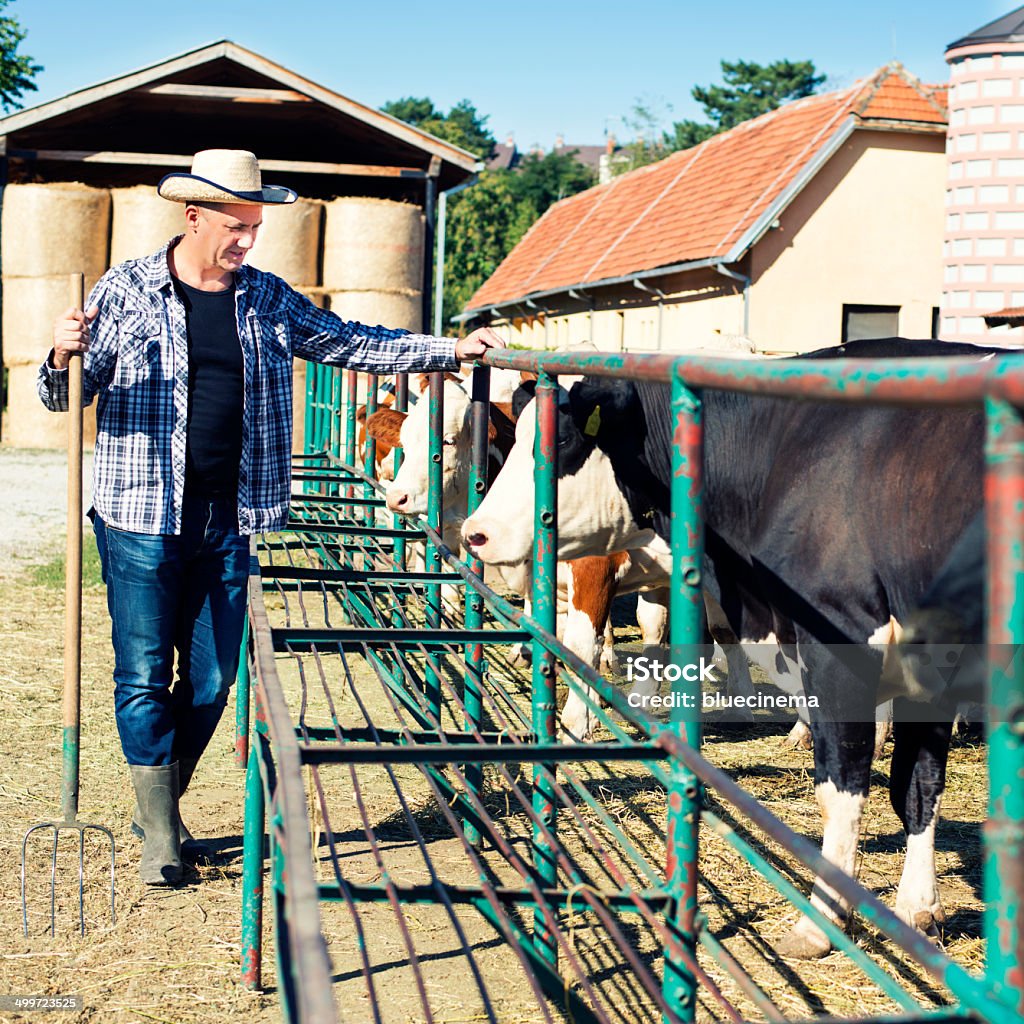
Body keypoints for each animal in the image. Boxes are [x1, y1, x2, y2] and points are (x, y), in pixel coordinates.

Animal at [460, 335, 1003, 958]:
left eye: (565, 441)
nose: (475, 532)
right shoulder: (930, 669)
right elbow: (916, 785)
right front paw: (919, 908)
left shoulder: (838, 645)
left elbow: (842, 788)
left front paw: (822, 919)